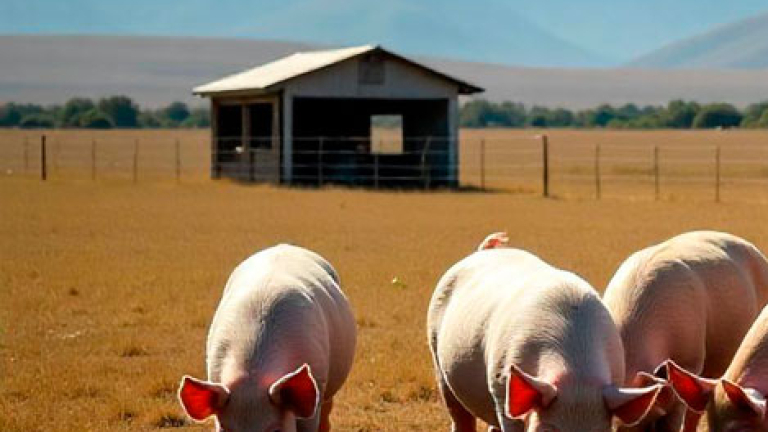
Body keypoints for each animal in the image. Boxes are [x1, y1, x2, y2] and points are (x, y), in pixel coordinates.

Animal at [426, 233, 660, 432]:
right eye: (546, 431)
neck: (576, 376)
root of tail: (482, 251)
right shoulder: (501, 389)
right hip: (438, 357)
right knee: (459, 416)